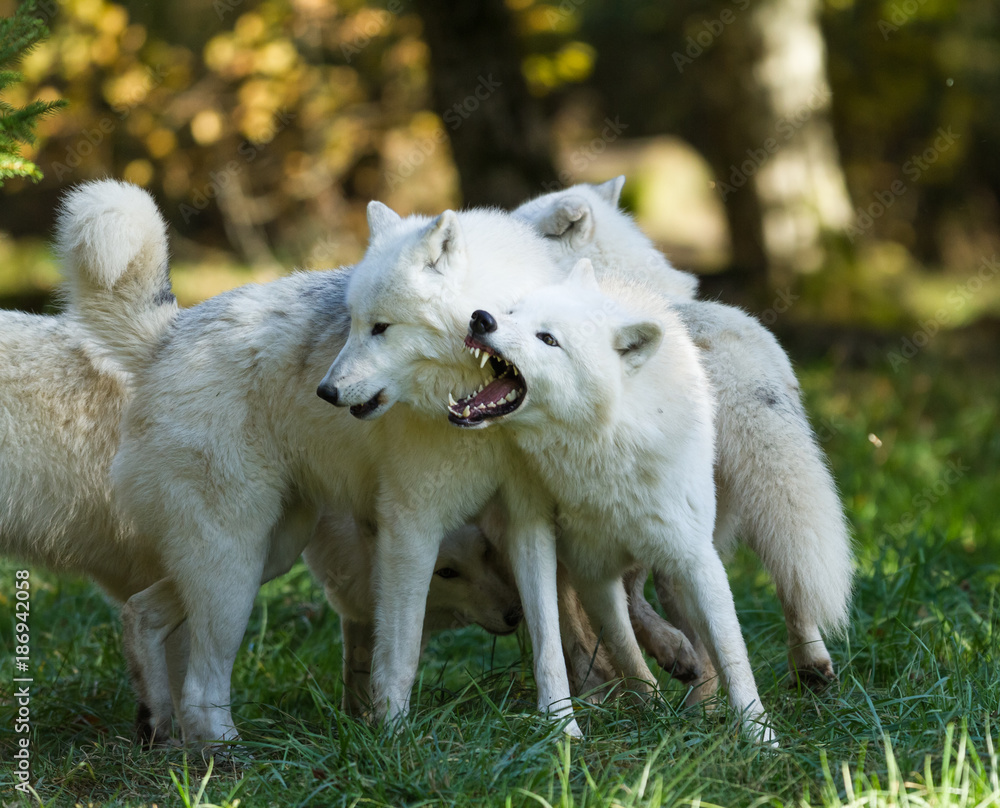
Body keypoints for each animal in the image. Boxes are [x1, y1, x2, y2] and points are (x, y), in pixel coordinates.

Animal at [514, 179, 854, 691]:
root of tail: (729, 366)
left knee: (654, 598)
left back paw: (682, 674)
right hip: (751, 505)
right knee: (788, 582)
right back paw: (808, 670)